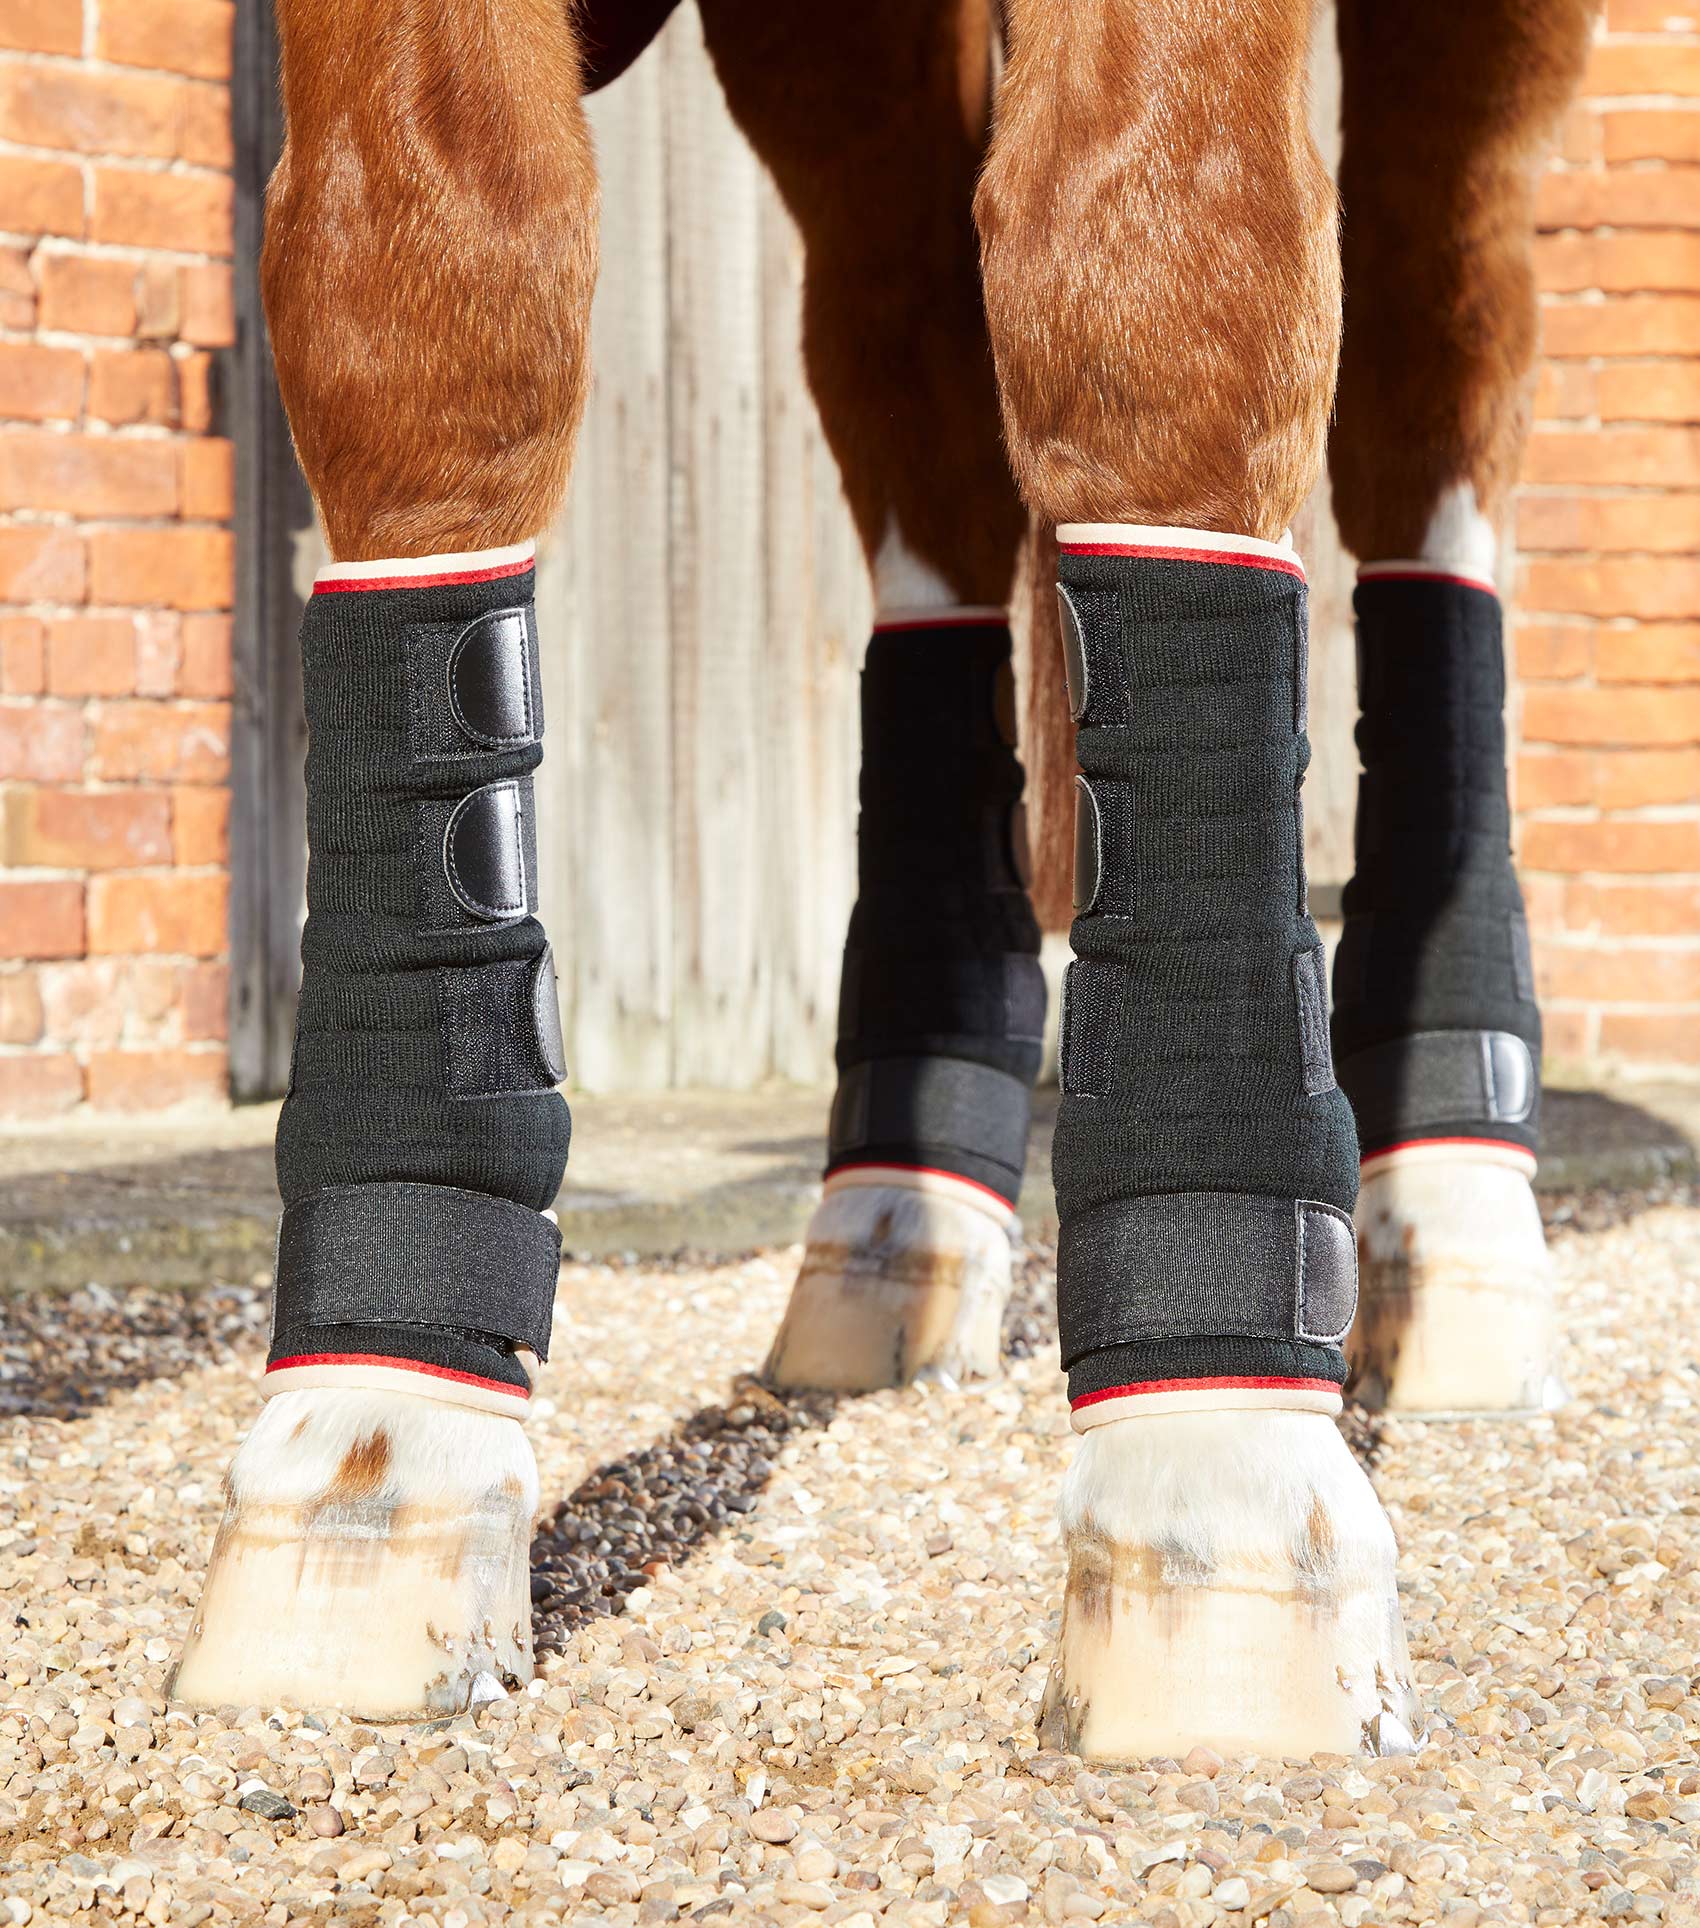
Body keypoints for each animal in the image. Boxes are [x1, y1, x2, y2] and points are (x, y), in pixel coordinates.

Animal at [166, 0, 1599, 1762]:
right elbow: (418, 298)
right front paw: (372, 1437)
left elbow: (1164, 277)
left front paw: (1218, 1483)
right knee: (916, 365)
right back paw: (897, 1212)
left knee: (1433, 344)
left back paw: (1460, 1216)